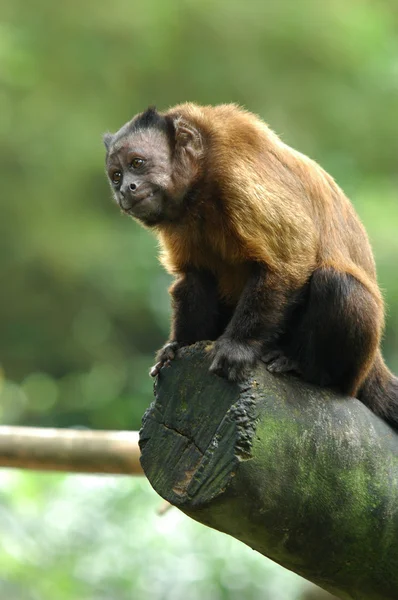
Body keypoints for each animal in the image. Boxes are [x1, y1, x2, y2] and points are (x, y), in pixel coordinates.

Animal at [103, 105, 398, 428]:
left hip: (356, 370)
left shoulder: (236, 175)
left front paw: (238, 347)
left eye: (138, 163)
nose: (125, 189)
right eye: (116, 176)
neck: (201, 187)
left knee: (336, 283)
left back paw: (308, 369)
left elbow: (287, 261)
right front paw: (179, 346)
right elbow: (195, 279)